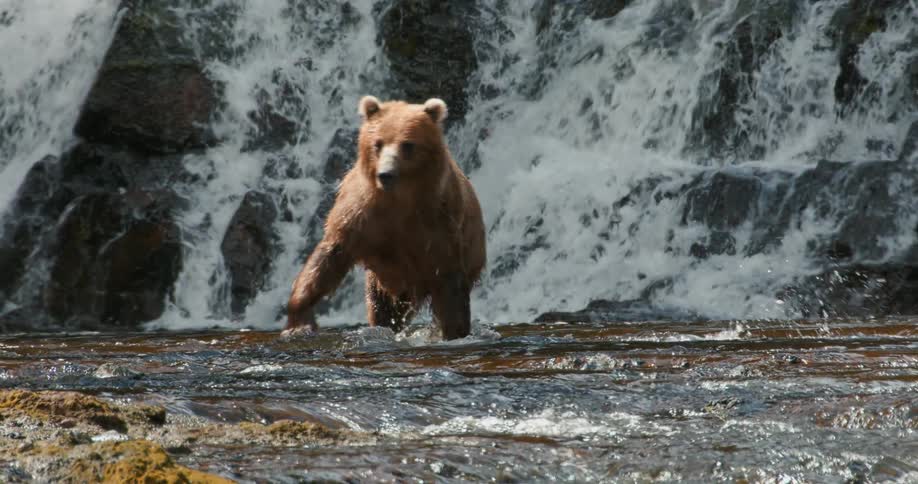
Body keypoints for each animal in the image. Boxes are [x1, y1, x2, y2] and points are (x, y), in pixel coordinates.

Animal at [285, 95, 486, 340]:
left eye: (408, 144)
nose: (386, 174)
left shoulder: (438, 222)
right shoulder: (361, 216)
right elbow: (329, 257)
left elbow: (449, 281)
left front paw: (454, 330)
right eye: (377, 143)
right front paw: (299, 321)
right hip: (383, 280)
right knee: (382, 306)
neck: (399, 199)